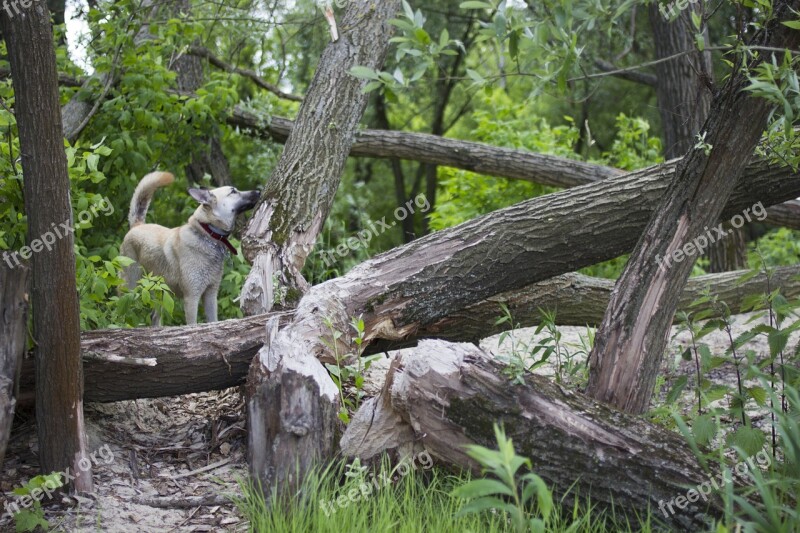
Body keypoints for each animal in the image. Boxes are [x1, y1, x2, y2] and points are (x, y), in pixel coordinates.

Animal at [122, 170, 260, 324]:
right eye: (233, 192)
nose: (258, 191)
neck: (207, 234)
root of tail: (137, 225)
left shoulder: (211, 295)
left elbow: (213, 321)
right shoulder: (192, 297)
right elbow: (192, 324)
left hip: (160, 291)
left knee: (154, 316)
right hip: (130, 288)